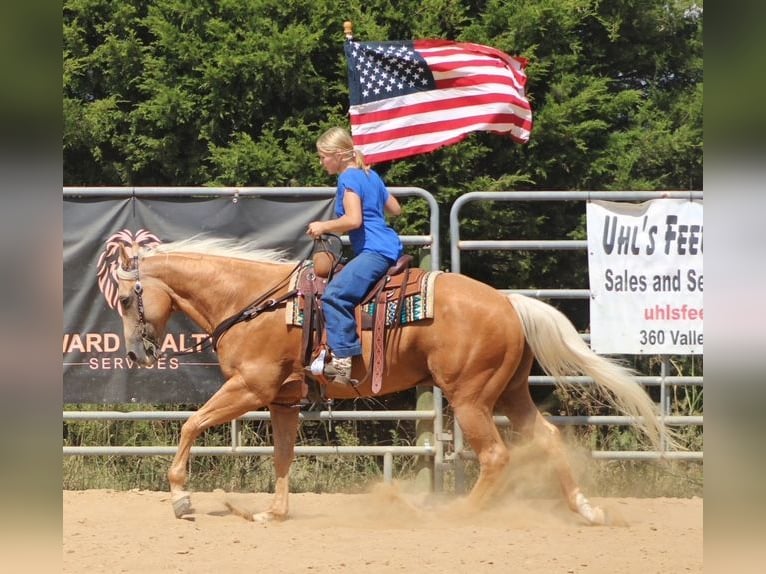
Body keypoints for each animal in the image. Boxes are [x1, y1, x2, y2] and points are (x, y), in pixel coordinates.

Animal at [114, 237, 672, 525]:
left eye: (123, 298)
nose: (136, 352)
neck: (254, 301)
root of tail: (508, 302)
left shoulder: (249, 389)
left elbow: (191, 425)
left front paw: (181, 498)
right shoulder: (283, 401)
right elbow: (283, 455)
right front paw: (273, 512)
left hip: (471, 398)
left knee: (496, 455)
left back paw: (457, 513)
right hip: (510, 393)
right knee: (549, 438)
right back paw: (585, 509)